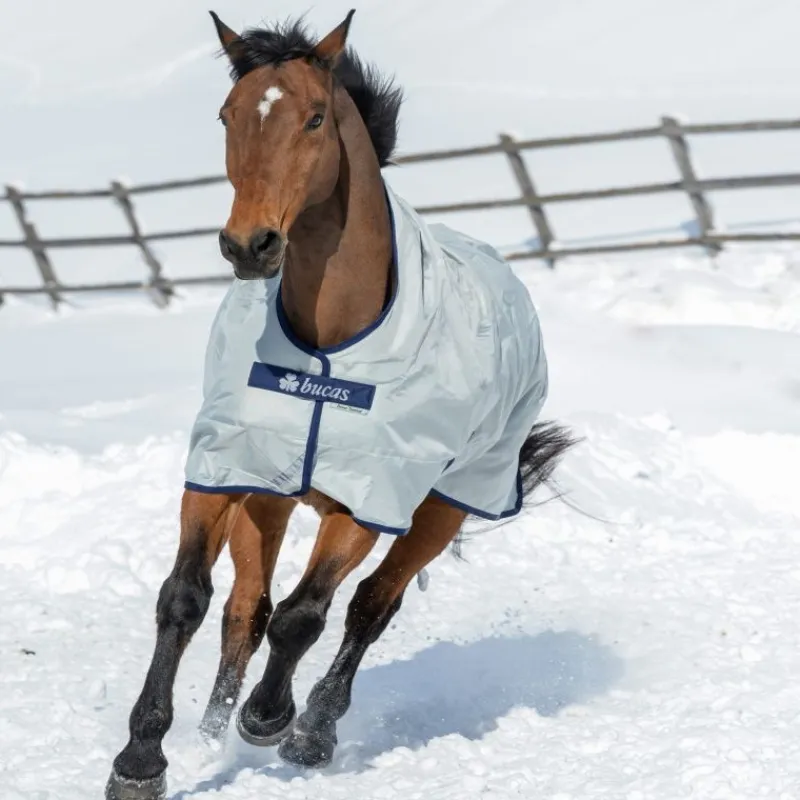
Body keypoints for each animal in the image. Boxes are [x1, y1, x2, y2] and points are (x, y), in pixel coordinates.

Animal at [106, 10, 574, 800]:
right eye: (228, 115)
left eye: (316, 119)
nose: (250, 245)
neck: (329, 346)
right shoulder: (222, 472)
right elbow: (186, 599)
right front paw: (143, 759)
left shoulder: (368, 496)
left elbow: (306, 617)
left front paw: (271, 719)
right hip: (270, 498)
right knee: (246, 609)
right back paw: (212, 731)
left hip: (444, 507)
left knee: (368, 607)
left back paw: (312, 731)